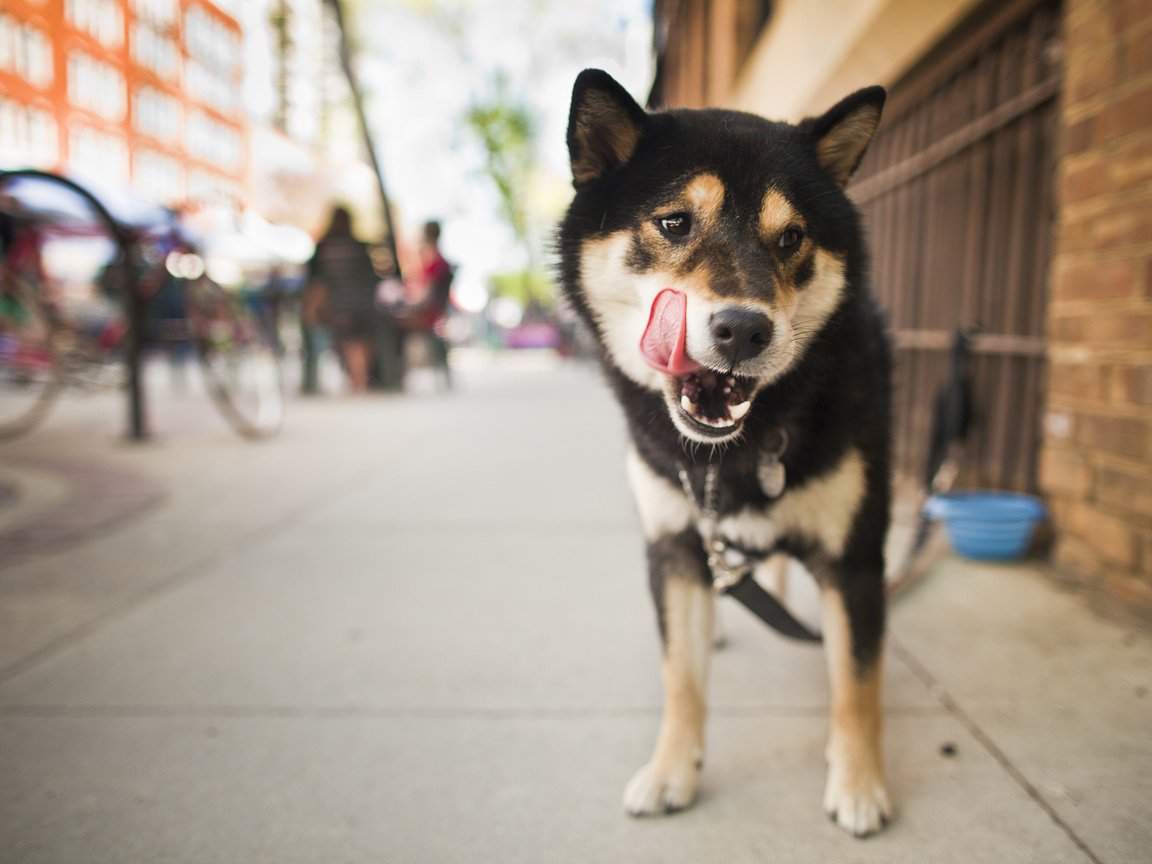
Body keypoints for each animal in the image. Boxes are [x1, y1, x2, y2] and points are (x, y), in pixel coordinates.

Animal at [562, 69, 893, 838]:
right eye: (674, 222)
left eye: (792, 236)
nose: (742, 330)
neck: (731, 457)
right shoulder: (674, 547)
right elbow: (680, 678)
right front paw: (670, 772)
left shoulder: (856, 558)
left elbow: (857, 682)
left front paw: (858, 782)